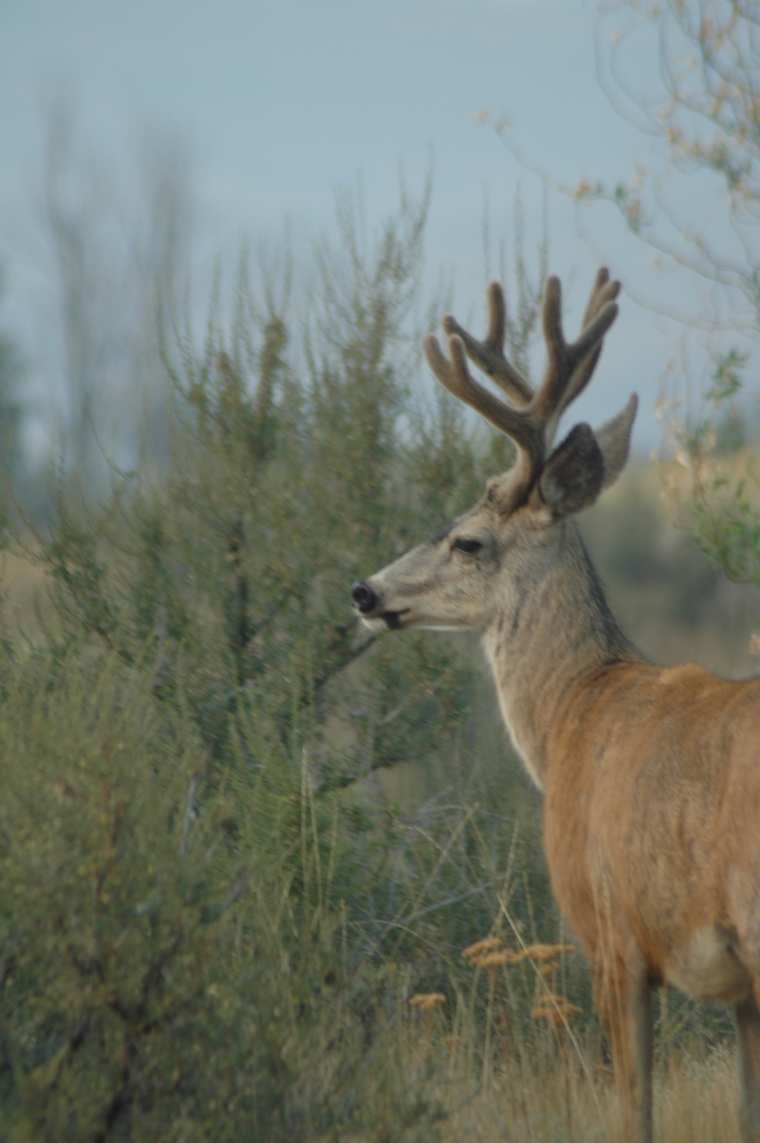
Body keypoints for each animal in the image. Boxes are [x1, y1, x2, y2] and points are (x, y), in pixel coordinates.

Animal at [350, 268, 760, 1143]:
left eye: (467, 538)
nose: (364, 591)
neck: (578, 711)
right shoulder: (736, 991)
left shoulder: (611, 936)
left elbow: (633, 1110)